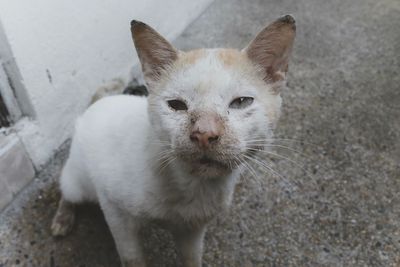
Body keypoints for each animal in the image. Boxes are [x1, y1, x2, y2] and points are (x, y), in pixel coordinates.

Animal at [50, 15, 296, 267]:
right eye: (176, 105)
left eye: (241, 102)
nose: (204, 134)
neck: (193, 186)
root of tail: (99, 101)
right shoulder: (115, 211)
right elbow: (132, 257)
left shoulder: (193, 230)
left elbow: (191, 258)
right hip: (79, 182)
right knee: (66, 191)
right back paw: (62, 219)